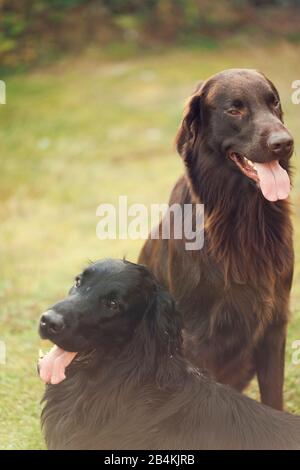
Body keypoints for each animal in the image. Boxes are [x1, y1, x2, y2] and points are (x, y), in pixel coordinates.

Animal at [139, 68, 294, 410]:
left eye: (274, 102)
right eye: (234, 110)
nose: (284, 143)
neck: (243, 217)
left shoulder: (274, 327)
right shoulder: (196, 339)